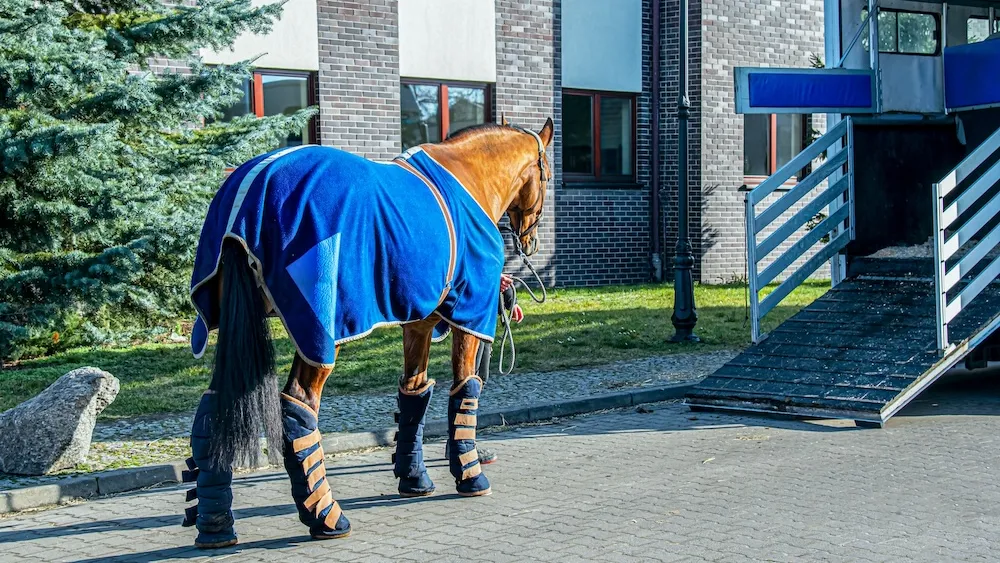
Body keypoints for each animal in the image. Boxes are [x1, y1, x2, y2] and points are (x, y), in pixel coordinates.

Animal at [180, 118, 554, 548]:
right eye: (546, 176)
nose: (531, 240)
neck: (468, 177)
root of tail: (251, 188)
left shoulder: (419, 321)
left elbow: (414, 394)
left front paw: (414, 478)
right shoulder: (469, 316)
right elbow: (466, 390)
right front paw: (470, 476)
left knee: (214, 409)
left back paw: (215, 525)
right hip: (317, 333)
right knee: (298, 406)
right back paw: (326, 516)